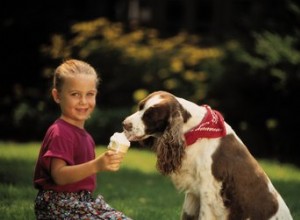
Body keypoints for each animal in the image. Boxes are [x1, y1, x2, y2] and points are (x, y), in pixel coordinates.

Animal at [122, 90, 292, 220]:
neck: (195, 130)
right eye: (140, 107)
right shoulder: (193, 193)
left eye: (150, 116)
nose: (124, 124)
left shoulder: (209, 192)